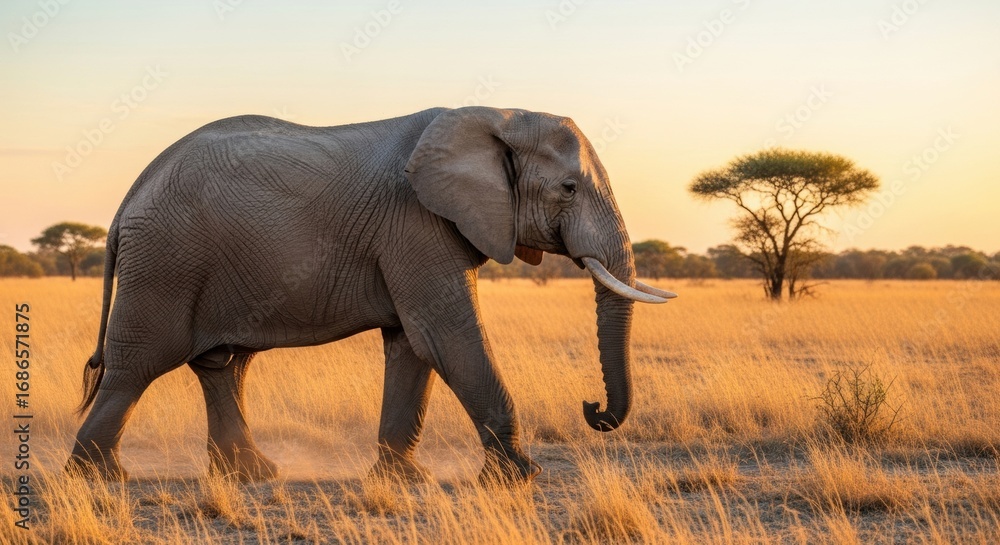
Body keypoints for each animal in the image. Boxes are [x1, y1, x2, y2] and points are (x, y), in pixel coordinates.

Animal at [66, 106, 677, 483]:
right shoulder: (417, 222)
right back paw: (98, 478)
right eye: (568, 189)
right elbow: (447, 337)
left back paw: (253, 475)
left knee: (222, 365)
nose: (592, 409)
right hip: (165, 262)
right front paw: (519, 479)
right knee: (137, 366)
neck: (499, 115)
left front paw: (405, 479)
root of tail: (128, 200)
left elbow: (412, 345)